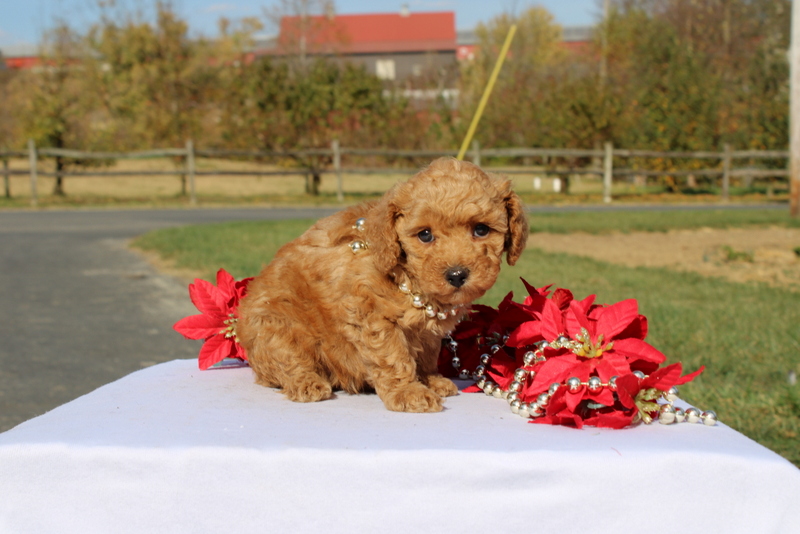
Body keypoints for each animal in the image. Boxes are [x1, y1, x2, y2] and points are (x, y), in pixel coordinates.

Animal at [234, 158, 528, 414]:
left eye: (481, 229)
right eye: (425, 235)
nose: (456, 275)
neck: (406, 276)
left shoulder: (427, 333)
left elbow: (428, 353)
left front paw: (430, 379)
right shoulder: (372, 315)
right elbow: (394, 357)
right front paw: (409, 393)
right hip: (276, 327)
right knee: (287, 362)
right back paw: (307, 384)